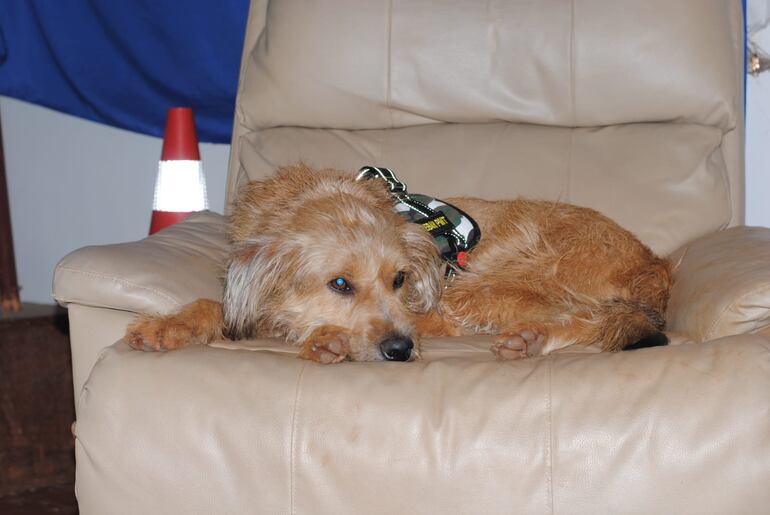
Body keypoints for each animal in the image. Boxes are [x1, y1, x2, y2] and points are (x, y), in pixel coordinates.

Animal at [124, 164, 664, 362]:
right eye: (340, 283)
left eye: (400, 279)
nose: (400, 350)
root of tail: (653, 266)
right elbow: (216, 306)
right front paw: (167, 325)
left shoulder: (432, 307)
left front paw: (326, 339)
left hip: (490, 285)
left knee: (595, 319)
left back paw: (530, 340)